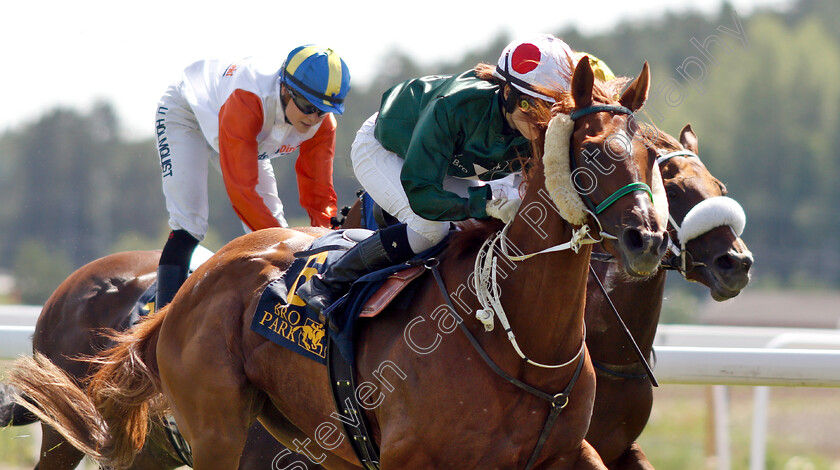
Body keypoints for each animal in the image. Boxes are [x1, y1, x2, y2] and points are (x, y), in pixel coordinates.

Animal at [9, 59, 668, 470]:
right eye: (590, 151)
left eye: (651, 154)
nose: (649, 239)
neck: (520, 347)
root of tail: (189, 291)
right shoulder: (408, 461)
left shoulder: (570, 452)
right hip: (210, 431)